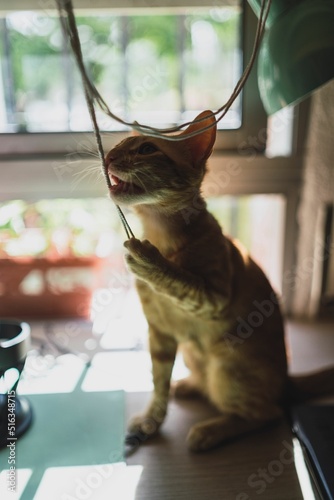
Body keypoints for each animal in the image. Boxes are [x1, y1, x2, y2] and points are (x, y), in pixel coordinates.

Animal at [105, 111, 334, 452]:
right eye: (118, 146)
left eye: (146, 149)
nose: (108, 156)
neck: (161, 234)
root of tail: (286, 380)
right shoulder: (159, 335)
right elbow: (158, 384)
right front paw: (151, 421)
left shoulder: (215, 298)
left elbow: (180, 281)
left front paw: (150, 262)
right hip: (192, 354)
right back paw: (189, 385)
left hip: (226, 369)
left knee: (270, 413)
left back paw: (209, 432)